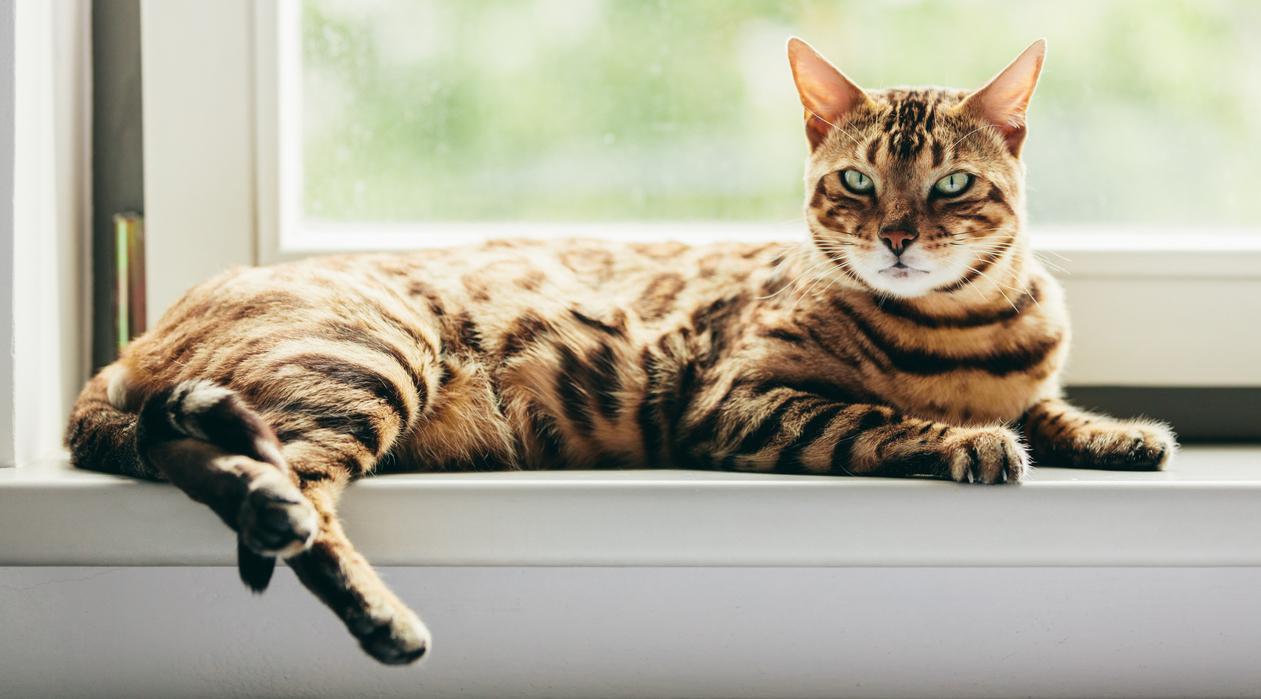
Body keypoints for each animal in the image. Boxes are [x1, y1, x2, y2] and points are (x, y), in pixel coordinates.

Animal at [66, 39, 1170, 666]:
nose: (896, 236)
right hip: (367, 356)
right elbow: (882, 417)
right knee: (281, 484)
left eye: (949, 185)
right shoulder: (738, 402)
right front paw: (965, 440)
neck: (962, 328)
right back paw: (372, 608)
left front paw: (1114, 431)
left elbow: (1044, 404)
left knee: (204, 457)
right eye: (855, 180)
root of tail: (130, 345)